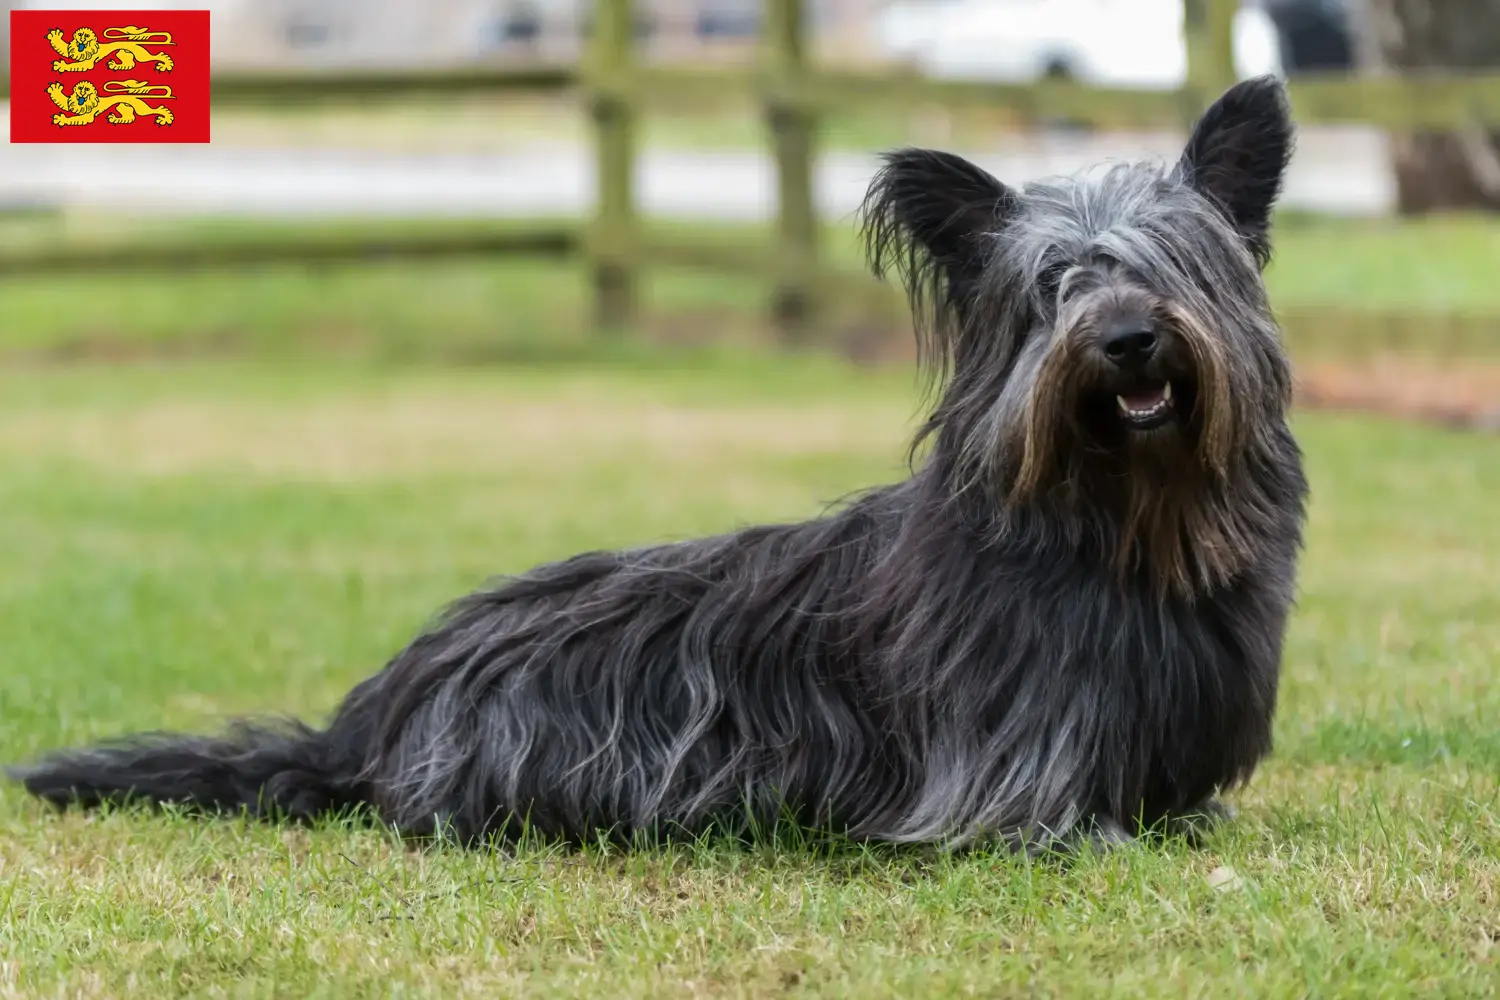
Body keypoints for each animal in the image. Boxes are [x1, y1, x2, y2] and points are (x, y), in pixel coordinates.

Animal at [8, 78, 1302, 857]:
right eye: (1051, 289)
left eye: (1174, 264)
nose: (1125, 339)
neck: (1116, 525)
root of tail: (364, 722)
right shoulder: (999, 787)